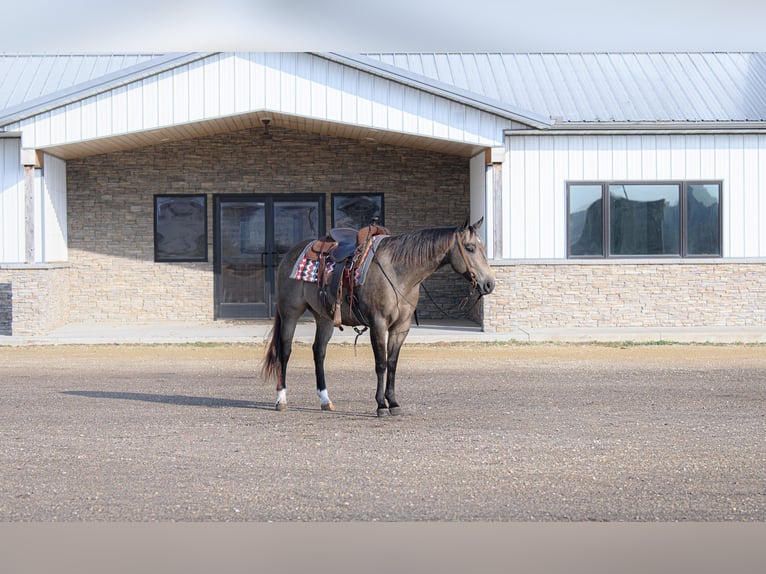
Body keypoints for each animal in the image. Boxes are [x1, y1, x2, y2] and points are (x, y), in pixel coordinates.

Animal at [261, 218, 495, 417]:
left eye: (484, 248)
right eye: (470, 248)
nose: (489, 284)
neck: (398, 271)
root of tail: (291, 253)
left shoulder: (401, 327)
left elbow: (392, 363)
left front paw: (394, 403)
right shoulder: (378, 323)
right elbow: (381, 364)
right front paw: (381, 405)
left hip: (324, 317)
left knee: (319, 352)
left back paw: (325, 400)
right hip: (290, 312)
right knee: (285, 351)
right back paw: (281, 399)